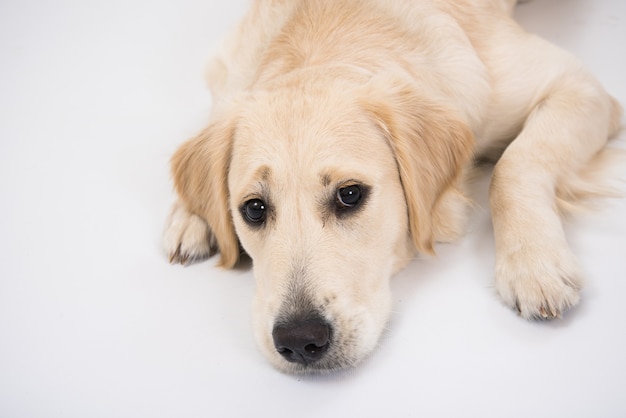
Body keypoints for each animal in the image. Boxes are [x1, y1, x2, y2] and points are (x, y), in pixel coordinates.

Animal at [161, 0, 620, 372]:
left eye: (349, 194)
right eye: (254, 209)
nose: (299, 341)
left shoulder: (580, 86)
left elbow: (515, 162)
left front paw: (533, 263)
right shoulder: (229, 66)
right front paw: (191, 215)